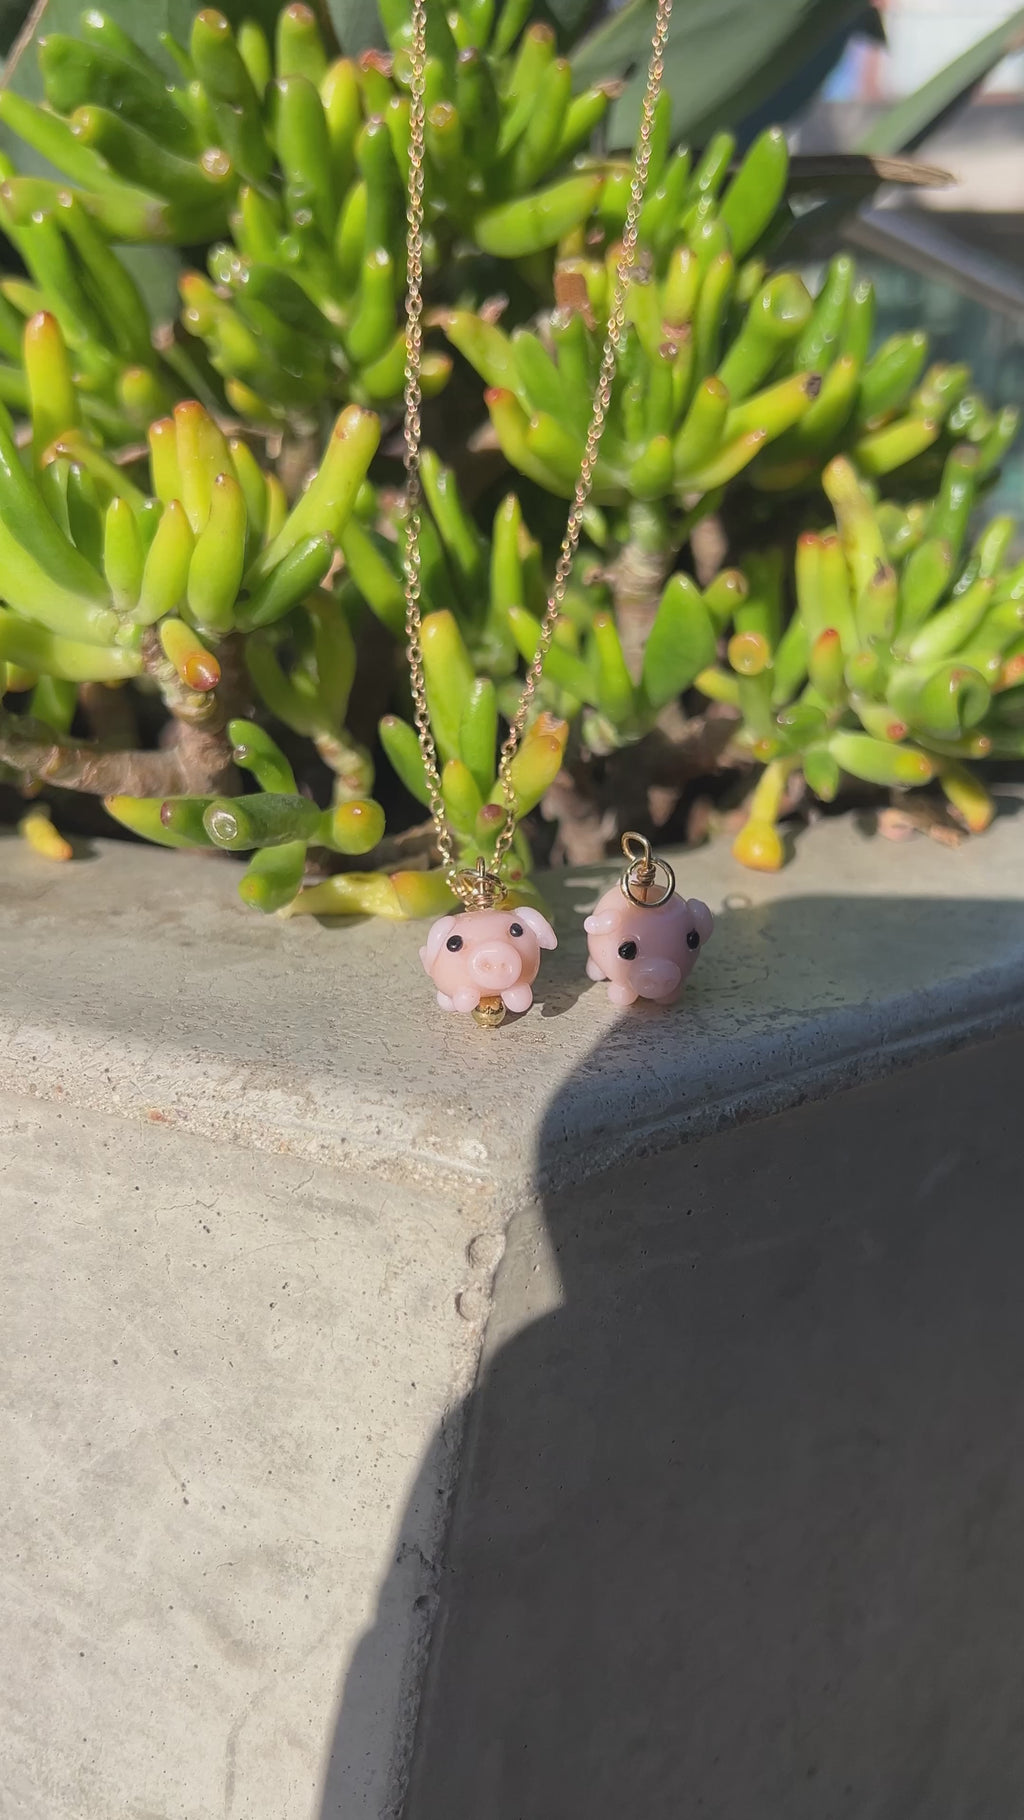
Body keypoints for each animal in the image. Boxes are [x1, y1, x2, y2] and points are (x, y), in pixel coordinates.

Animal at [420, 905, 557, 1015]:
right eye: (453, 943)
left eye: (517, 929)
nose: (494, 952)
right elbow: (463, 1000)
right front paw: (467, 999)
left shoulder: (520, 984)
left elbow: (520, 999)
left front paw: (517, 1000)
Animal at [584, 884, 713, 1007]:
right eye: (626, 950)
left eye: (694, 940)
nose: (661, 974)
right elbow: (622, 988)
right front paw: (620, 997)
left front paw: (669, 998)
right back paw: (594, 974)